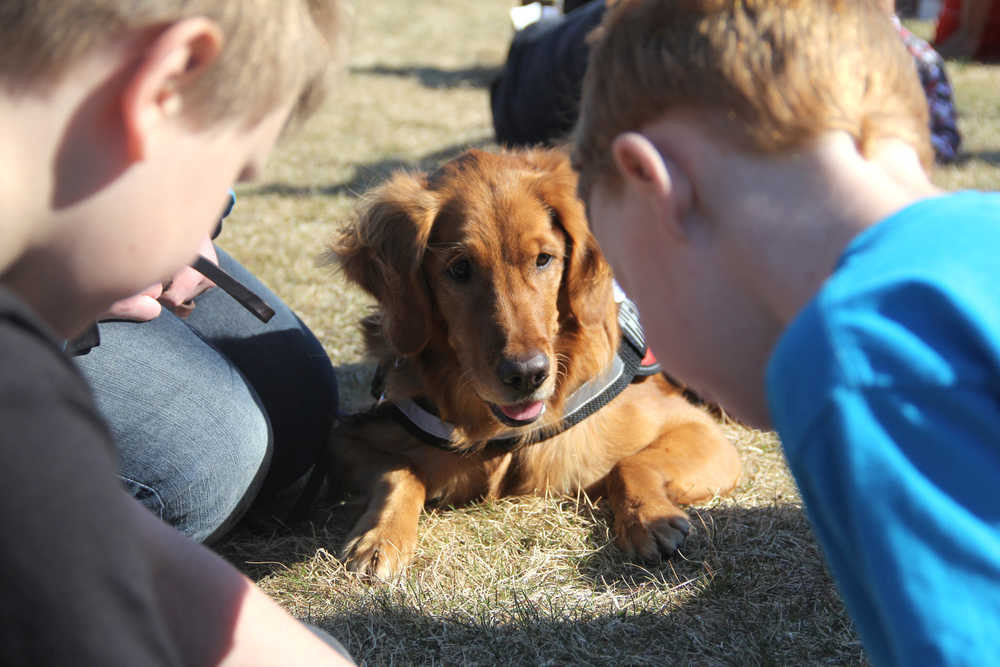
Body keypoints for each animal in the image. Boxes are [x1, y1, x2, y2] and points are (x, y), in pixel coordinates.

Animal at [330, 147, 744, 580]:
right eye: (458, 268)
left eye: (544, 259)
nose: (527, 375)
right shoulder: (345, 439)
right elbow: (400, 471)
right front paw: (381, 537)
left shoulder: (699, 432)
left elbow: (630, 464)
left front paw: (648, 518)